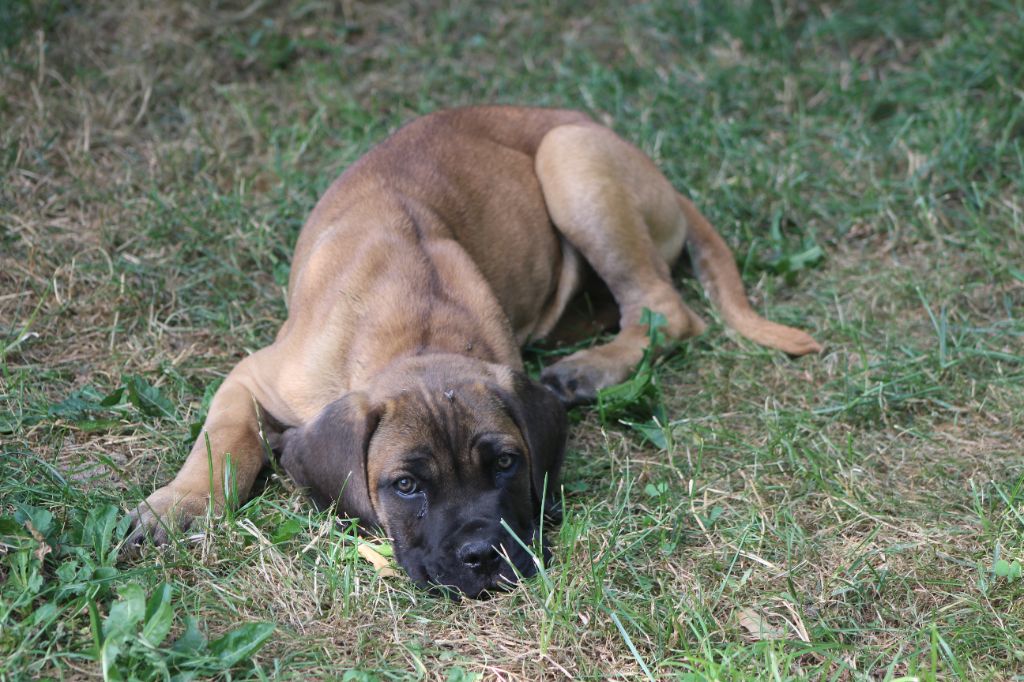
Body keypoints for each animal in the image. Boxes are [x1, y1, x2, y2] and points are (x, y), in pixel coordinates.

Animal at [127, 106, 820, 597]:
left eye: (508, 463)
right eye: (405, 485)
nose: (483, 557)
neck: (417, 331)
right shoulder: (253, 378)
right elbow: (225, 440)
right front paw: (179, 508)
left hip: (570, 160)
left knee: (665, 309)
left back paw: (588, 371)